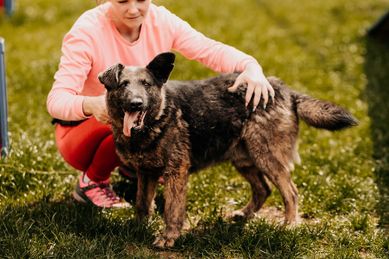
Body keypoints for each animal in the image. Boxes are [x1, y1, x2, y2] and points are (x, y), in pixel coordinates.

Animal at [98, 51, 358, 249]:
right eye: (123, 85)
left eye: (146, 85)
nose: (136, 104)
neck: (157, 119)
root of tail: (283, 89)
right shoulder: (146, 173)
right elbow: (142, 204)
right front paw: (138, 228)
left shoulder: (175, 173)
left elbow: (172, 210)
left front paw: (168, 238)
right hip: (245, 160)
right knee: (263, 189)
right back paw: (245, 214)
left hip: (267, 158)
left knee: (291, 193)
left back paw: (290, 226)